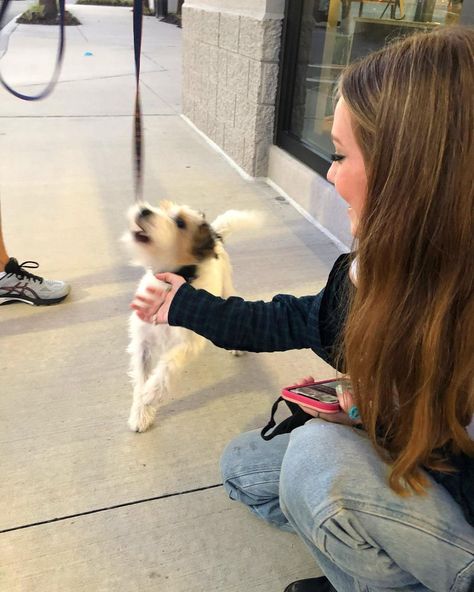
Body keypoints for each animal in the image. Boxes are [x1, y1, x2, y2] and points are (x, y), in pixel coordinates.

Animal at [125, 201, 260, 432]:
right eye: (161, 207)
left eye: (180, 222)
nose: (144, 210)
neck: (171, 281)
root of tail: (216, 235)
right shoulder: (142, 342)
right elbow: (141, 376)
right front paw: (141, 412)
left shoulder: (189, 341)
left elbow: (168, 364)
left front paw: (150, 393)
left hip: (226, 289)